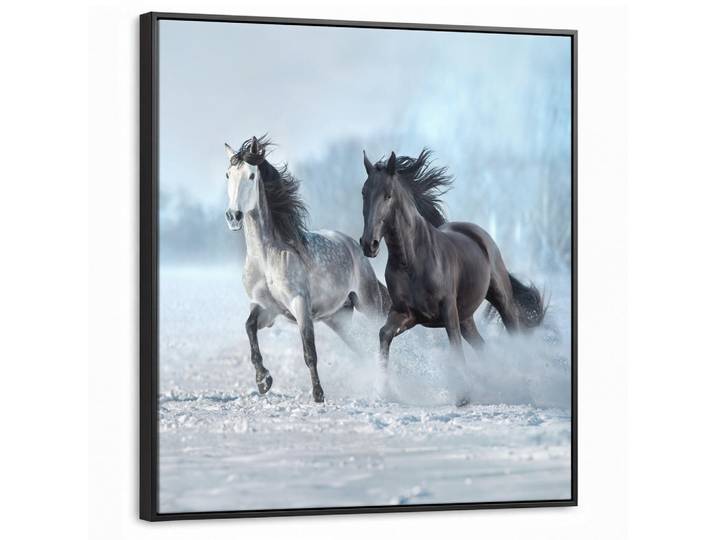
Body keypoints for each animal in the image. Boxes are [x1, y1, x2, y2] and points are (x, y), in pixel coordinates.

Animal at [224, 136, 390, 403]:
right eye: (228, 174)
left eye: (251, 175)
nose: (233, 216)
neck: (266, 257)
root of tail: (353, 245)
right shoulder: (266, 308)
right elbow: (249, 328)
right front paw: (263, 380)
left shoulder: (300, 304)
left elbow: (309, 351)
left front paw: (318, 394)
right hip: (338, 318)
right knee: (362, 346)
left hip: (369, 304)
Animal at [359, 149, 545, 405]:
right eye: (364, 193)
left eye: (388, 195)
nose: (369, 244)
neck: (412, 261)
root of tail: (479, 234)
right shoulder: (406, 314)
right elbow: (384, 334)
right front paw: (384, 390)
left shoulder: (447, 311)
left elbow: (455, 348)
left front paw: (463, 396)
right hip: (466, 317)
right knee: (482, 347)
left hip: (500, 299)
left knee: (513, 331)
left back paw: (522, 388)